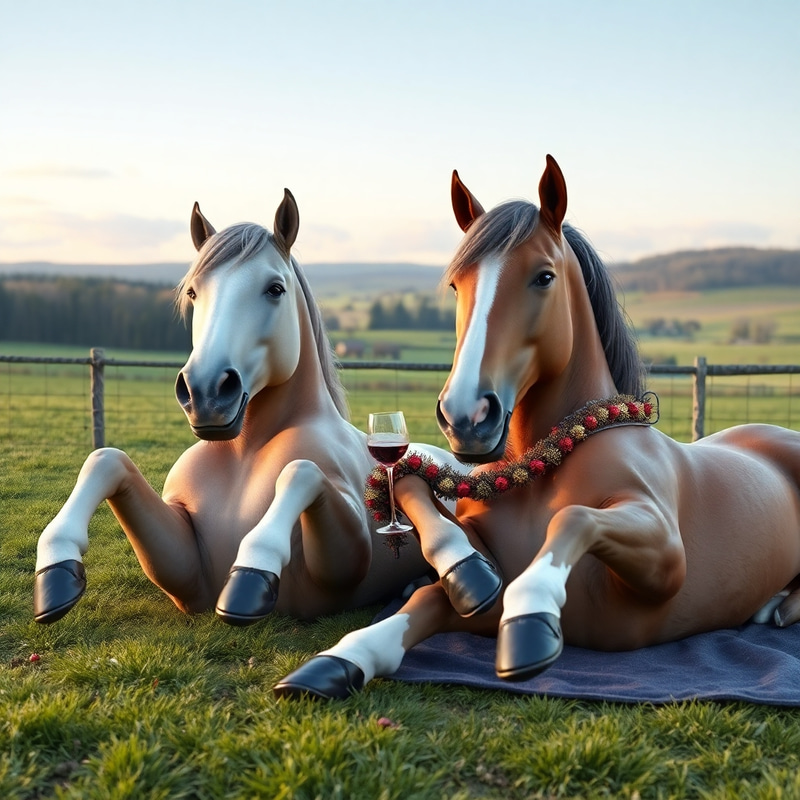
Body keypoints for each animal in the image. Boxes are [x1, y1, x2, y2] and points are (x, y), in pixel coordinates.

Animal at [33, 189, 501, 627]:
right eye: (193, 291)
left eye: (275, 289)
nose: (206, 391)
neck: (244, 452)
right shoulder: (184, 574)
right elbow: (105, 460)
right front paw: (55, 570)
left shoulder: (343, 568)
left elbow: (300, 472)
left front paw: (250, 574)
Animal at [272, 155, 800, 699]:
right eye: (456, 285)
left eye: (544, 276)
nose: (465, 417)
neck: (548, 458)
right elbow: (428, 578)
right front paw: (342, 655)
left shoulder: (664, 557)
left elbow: (572, 518)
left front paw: (530, 619)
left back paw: (777, 608)